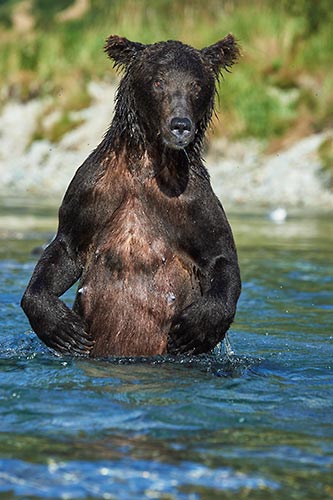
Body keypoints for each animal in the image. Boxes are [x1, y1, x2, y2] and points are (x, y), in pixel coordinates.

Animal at [20, 34, 240, 356]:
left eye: (196, 85)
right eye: (158, 82)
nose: (180, 124)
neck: (148, 162)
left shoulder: (193, 201)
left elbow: (219, 256)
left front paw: (195, 330)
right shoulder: (91, 190)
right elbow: (65, 248)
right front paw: (64, 328)